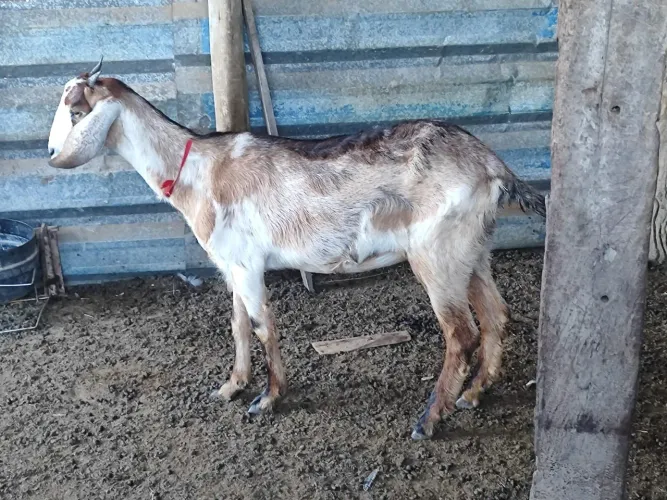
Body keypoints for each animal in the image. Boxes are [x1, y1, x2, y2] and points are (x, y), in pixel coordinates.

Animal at [47, 58, 546, 440]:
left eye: (76, 111)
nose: (50, 154)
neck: (199, 170)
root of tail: (491, 165)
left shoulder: (248, 265)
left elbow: (263, 326)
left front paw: (267, 398)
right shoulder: (231, 265)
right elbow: (238, 327)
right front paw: (231, 387)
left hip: (436, 254)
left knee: (461, 333)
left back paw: (429, 419)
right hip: (473, 249)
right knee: (496, 313)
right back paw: (475, 393)